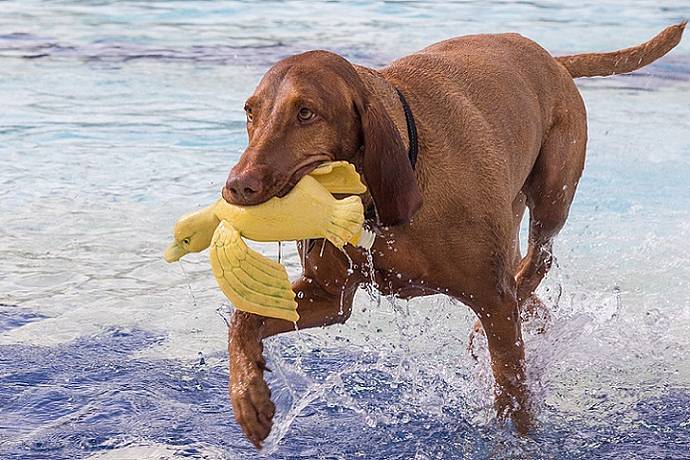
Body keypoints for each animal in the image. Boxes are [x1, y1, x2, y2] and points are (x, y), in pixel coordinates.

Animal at [220, 23, 684, 448]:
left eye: (305, 113)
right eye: (250, 111)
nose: (237, 186)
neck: (376, 209)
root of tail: (552, 59)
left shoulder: (493, 301)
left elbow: (512, 389)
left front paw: (518, 438)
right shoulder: (329, 297)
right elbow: (243, 319)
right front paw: (249, 397)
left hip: (553, 192)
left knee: (538, 260)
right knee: (525, 277)